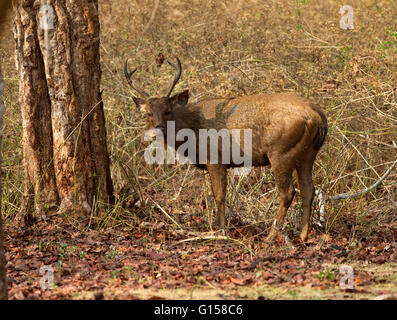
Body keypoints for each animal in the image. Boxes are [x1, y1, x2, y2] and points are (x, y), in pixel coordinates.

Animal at [125, 57, 326, 240]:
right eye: (148, 113)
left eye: (168, 111)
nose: (157, 129)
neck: (193, 128)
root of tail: (318, 116)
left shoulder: (215, 157)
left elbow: (219, 195)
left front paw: (220, 229)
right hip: (308, 152)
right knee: (309, 189)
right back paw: (303, 235)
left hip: (281, 152)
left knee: (288, 192)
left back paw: (271, 236)